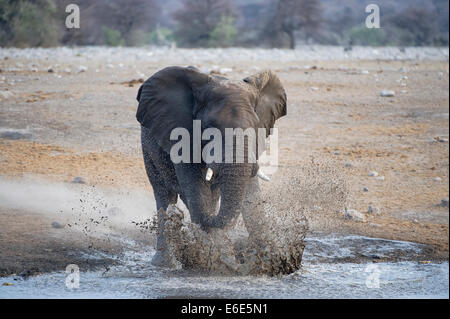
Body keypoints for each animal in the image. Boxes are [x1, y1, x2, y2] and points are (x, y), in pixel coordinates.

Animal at [135, 67, 286, 268]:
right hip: (148, 149)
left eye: (255, 126)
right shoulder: (183, 136)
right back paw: (165, 261)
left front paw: (272, 260)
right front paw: (213, 262)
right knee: (164, 194)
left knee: (209, 197)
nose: (177, 217)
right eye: (208, 127)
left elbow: (251, 195)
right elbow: (197, 192)